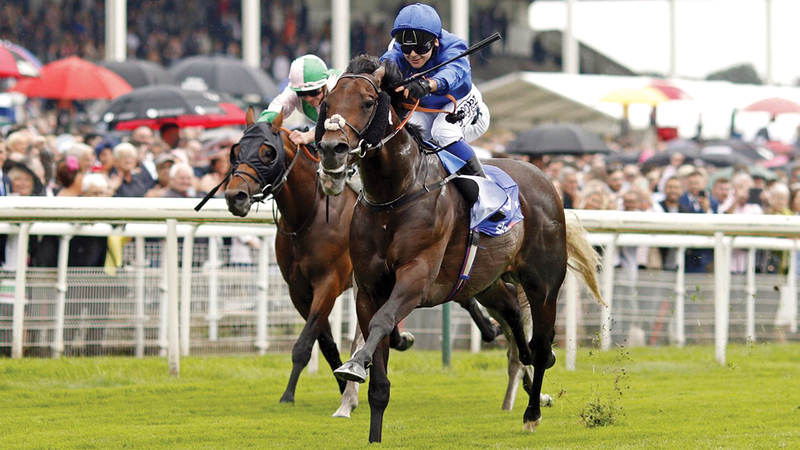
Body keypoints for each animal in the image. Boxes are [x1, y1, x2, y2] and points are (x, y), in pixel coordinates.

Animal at [223, 108, 504, 416]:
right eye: (238, 150)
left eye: (267, 153)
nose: (235, 196)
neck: (309, 214)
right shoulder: (298, 289)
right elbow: (326, 341)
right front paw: (343, 387)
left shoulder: (329, 282)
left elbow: (305, 342)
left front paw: (289, 394)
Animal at [315, 55, 604, 443]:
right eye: (327, 103)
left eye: (367, 101)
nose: (333, 150)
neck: (395, 195)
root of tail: (545, 180)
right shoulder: (369, 289)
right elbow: (379, 370)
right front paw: (372, 428)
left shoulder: (416, 278)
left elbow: (384, 321)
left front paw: (356, 364)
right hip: (485, 280)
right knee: (513, 313)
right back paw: (525, 364)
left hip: (543, 283)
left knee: (543, 346)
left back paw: (531, 413)